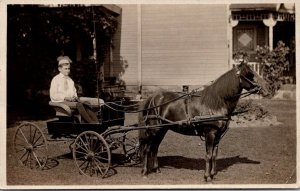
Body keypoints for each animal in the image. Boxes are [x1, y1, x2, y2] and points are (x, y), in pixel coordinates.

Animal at [138, 62, 272, 181]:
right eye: (249, 75)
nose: (267, 89)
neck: (217, 103)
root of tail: (153, 97)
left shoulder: (218, 136)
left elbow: (214, 155)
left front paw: (212, 175)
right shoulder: (210, 134)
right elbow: (208, 155)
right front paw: (207, 176)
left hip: (162, 130)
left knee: (155, 148)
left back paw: (156, 169)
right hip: (154, 130)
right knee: (147, 149)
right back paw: (144, 172)